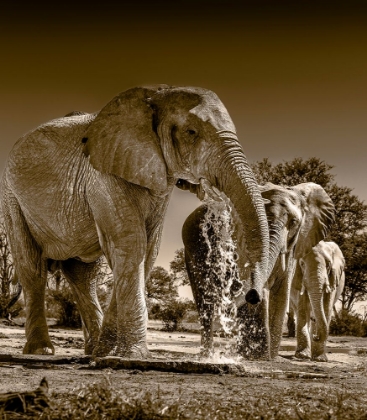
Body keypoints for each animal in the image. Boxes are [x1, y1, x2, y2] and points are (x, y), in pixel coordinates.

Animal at [0, 83, 270, 356]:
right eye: (191, 132)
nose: (252, 295)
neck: (156, 95)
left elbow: (147, 250)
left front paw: (109, 353)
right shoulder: (104, 175)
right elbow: (131, 243)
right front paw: (132, 355)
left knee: (83, 276)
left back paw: (93, 350)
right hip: (12, 199)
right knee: (32, 268)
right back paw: (41, 350)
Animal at [184, 182, 336, 360]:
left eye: (294, 222)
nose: (252, 295)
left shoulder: (294, 247)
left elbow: (282, 290)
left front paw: (271, 358)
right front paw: (260, 357)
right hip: (193, 250)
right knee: (204, 298)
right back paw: (208, 355)